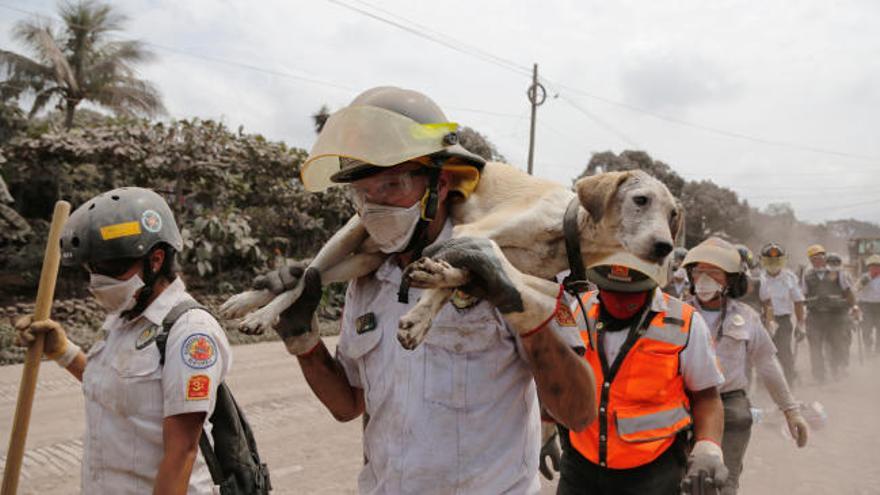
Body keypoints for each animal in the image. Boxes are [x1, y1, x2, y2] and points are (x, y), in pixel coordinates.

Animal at [218, 163, 680, 348]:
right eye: (640, 200)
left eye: (673, 214)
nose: (665, 248)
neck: (568, 228)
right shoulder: (473, 232)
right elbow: (466, 259)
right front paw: (426, 297)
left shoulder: (486, 259)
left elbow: (457, 278)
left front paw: (424, 309)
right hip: (348, 234)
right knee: (301, 278)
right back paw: (255, 311)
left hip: (360, 259)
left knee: (307, 278)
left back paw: (247, 303)